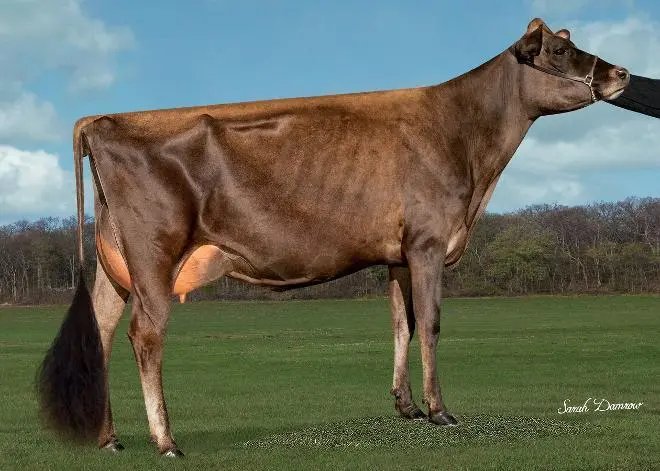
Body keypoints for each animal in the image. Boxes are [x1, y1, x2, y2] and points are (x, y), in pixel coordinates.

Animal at [38, 18, 630, 457]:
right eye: (559, 50)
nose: (621, 72)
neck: (470, 149)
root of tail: (102, 120)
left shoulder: (398, 253)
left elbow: (401, 323)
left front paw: (406, 407)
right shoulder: (428, 242)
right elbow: (431, 324)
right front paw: (440, 412)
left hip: (115, 264)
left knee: (102, 330)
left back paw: (109, 438)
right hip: (154, 255)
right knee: (145, 334)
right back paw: (165, 441)